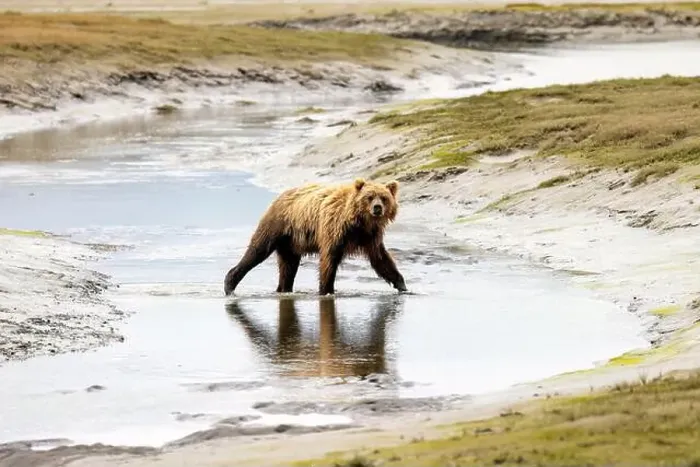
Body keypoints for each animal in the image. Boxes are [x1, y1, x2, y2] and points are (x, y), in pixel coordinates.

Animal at [223, 177, 407, 296]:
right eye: (369, 197)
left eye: (384, 197)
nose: (377, 208)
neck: (359, 223)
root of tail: (279, 197)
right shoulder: (334, 229)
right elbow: (329, 260)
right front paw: (326, 291)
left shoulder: (371, 237)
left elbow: (381, 260)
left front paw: (403, 287)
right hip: (277, 225)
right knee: (258, 249)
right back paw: (230, 284)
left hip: (291, 242)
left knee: (288, 267)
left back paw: (284, 289)